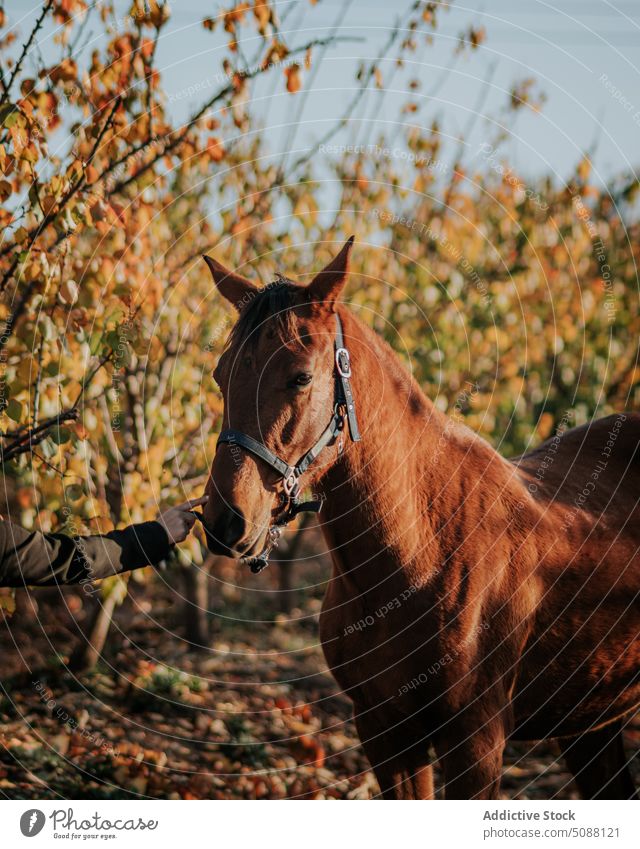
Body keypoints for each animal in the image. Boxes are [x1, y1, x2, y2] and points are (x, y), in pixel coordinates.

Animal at [202, 240, 640, 800]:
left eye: (300, 377)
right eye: (222, 373)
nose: (225, 521)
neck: (422, 548)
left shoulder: (476, 745)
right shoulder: (383, 731)